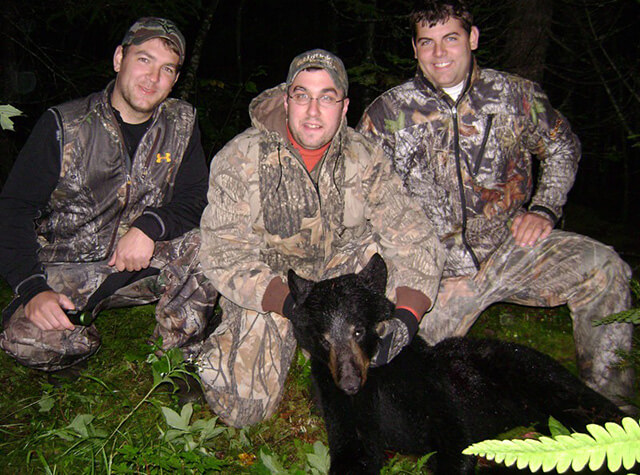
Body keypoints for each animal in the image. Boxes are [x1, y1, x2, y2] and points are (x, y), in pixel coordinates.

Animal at [288, 255, 624, 475]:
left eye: (358, 330)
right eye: (324, 339)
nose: (349, 384)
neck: (376, 378)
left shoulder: (428, 388)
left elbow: (455, 439)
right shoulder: (336, 401)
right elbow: (353, 452)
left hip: (531, 374)